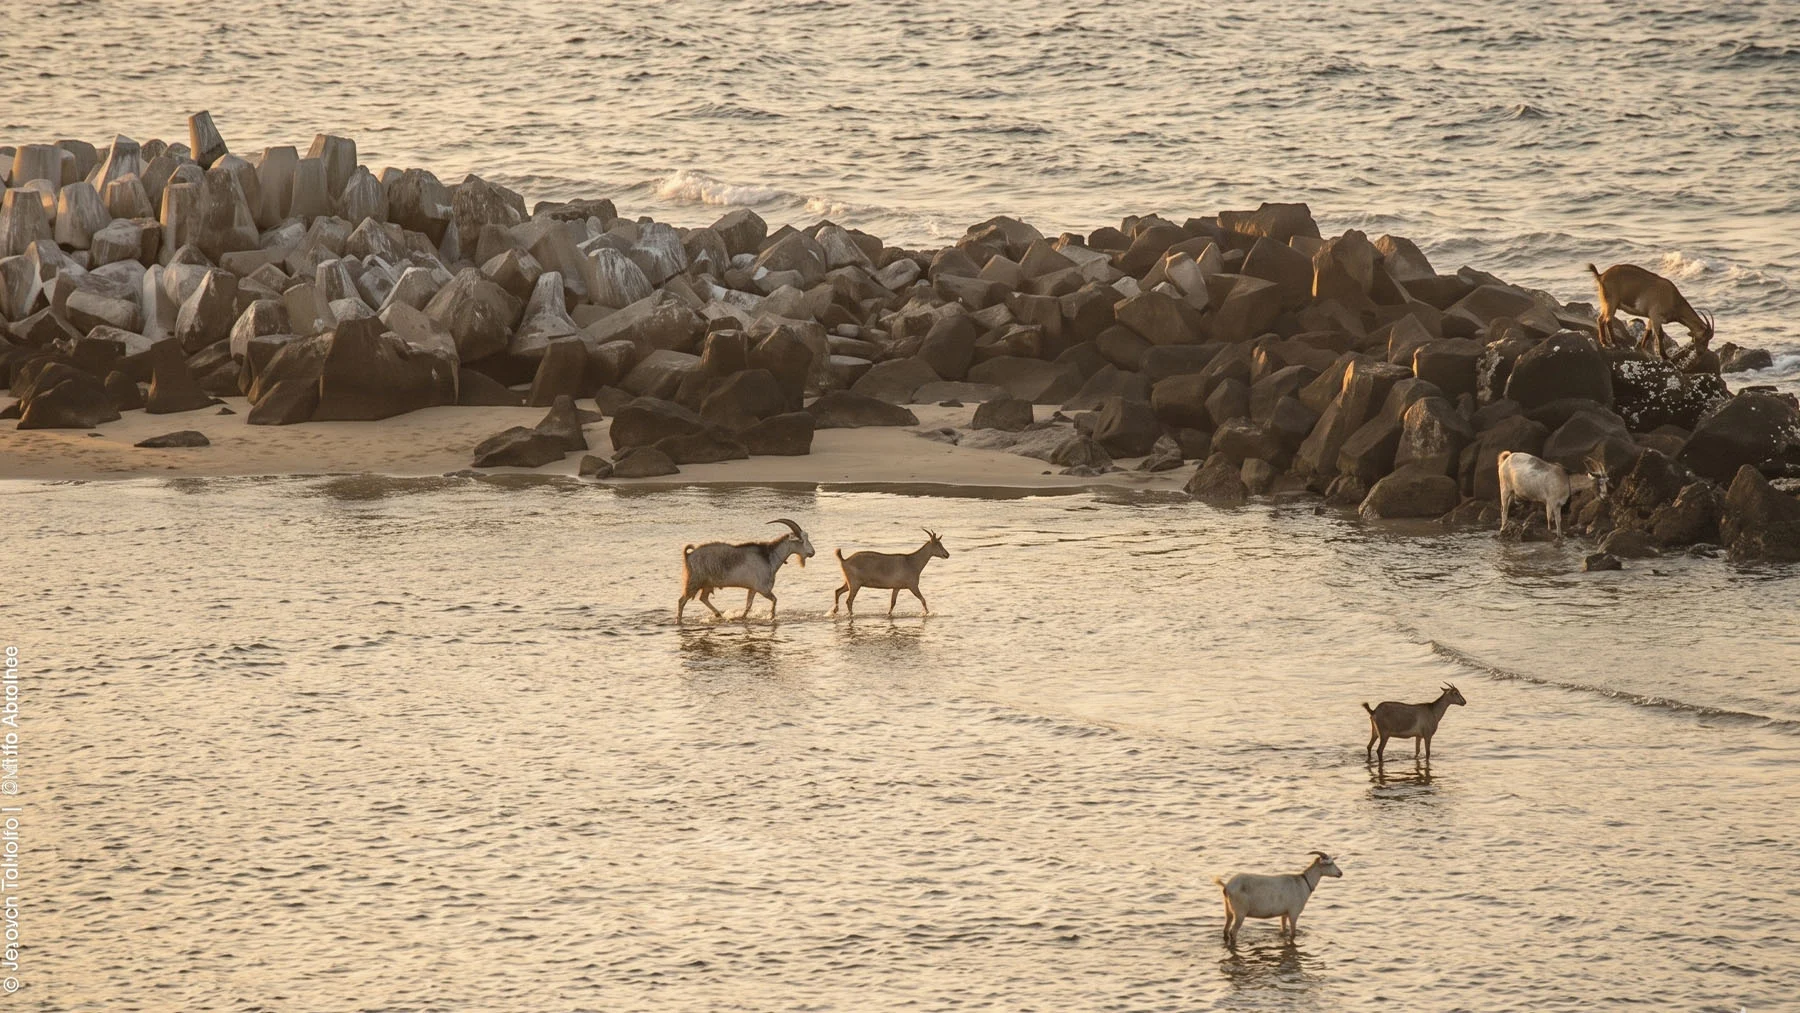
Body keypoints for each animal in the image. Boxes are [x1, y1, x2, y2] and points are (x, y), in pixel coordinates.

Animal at [677, 518, 814, 622]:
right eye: (801, 540)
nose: (812, 552)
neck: (769, 556)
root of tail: (688, 555)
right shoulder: (763, 588)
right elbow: (775, 600)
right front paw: (772, 617)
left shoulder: (752, 588)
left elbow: (748, 605)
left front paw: (742, 617)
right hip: (694, 582)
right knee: (682, 601)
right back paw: (679, 621)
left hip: (707, 584)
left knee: (703, 598)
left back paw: (719, 615)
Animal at [1214, 852, 1343, 945]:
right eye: (1330, 864)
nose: (1340, 873)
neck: (1303, 883)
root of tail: (1227, 886)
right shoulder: (1293, 912)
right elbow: (1293, 933)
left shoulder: (1284, 913)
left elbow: (1283, 931)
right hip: (1240, 911)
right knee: (1233, 931)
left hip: (1228, 909)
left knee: (1225, 929)